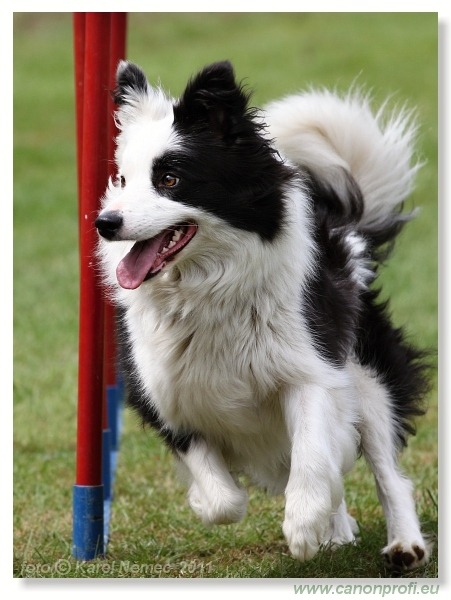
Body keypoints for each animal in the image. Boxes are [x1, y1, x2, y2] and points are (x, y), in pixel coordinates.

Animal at [94, 61, 430, 572]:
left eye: (169, 179)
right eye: (123, 180)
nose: (105, 223)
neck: (205, 289)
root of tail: (343, 230)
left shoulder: (311, 369)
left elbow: (313, 453)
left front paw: (304, 526)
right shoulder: (161, 395)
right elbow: (222, 500)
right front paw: (205, 500)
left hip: (368, 372)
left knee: (387, 468)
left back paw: (404, 545)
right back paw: (339, 527)